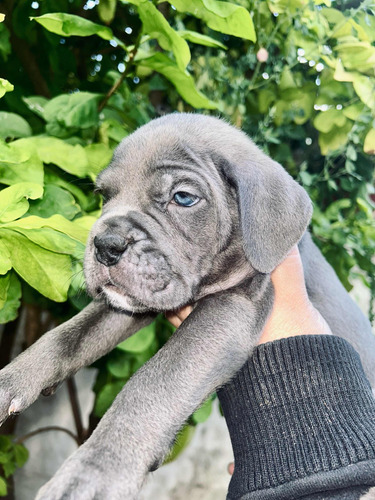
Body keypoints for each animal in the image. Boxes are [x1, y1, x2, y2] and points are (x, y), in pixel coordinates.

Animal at [0, 113, 375, 500]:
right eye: (103, 196)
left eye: (183, 197)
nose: (105, 244)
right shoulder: (129, 302)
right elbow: (67, 337)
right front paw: (10, 381)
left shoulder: (233, 306)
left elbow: (154, 380)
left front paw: (92, 474)